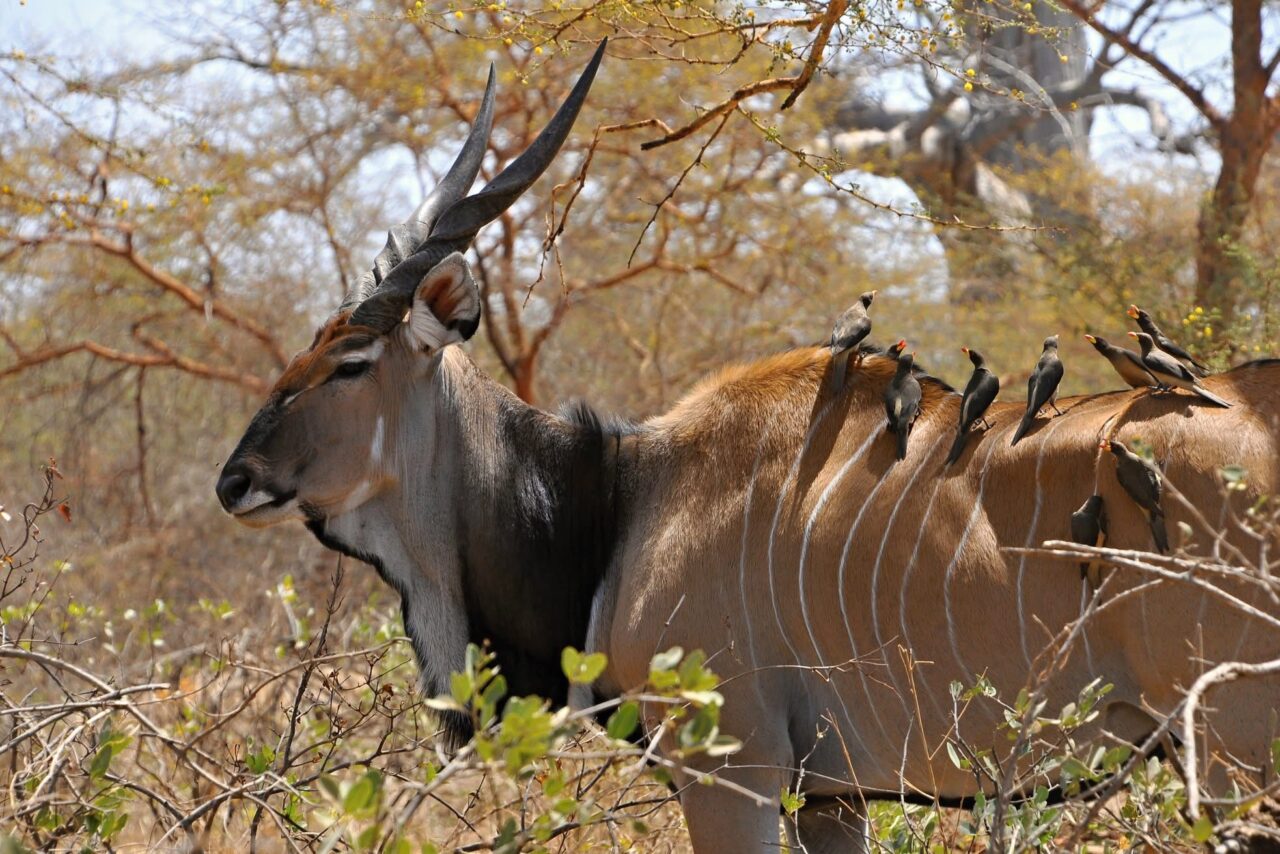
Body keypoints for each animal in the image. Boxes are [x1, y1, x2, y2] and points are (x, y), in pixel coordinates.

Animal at [217, 45, 1280, 852]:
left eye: (350, 361)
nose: (236, 480)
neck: (628, 495)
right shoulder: (832, 798)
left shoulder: (730, 770)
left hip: (1234, 751)